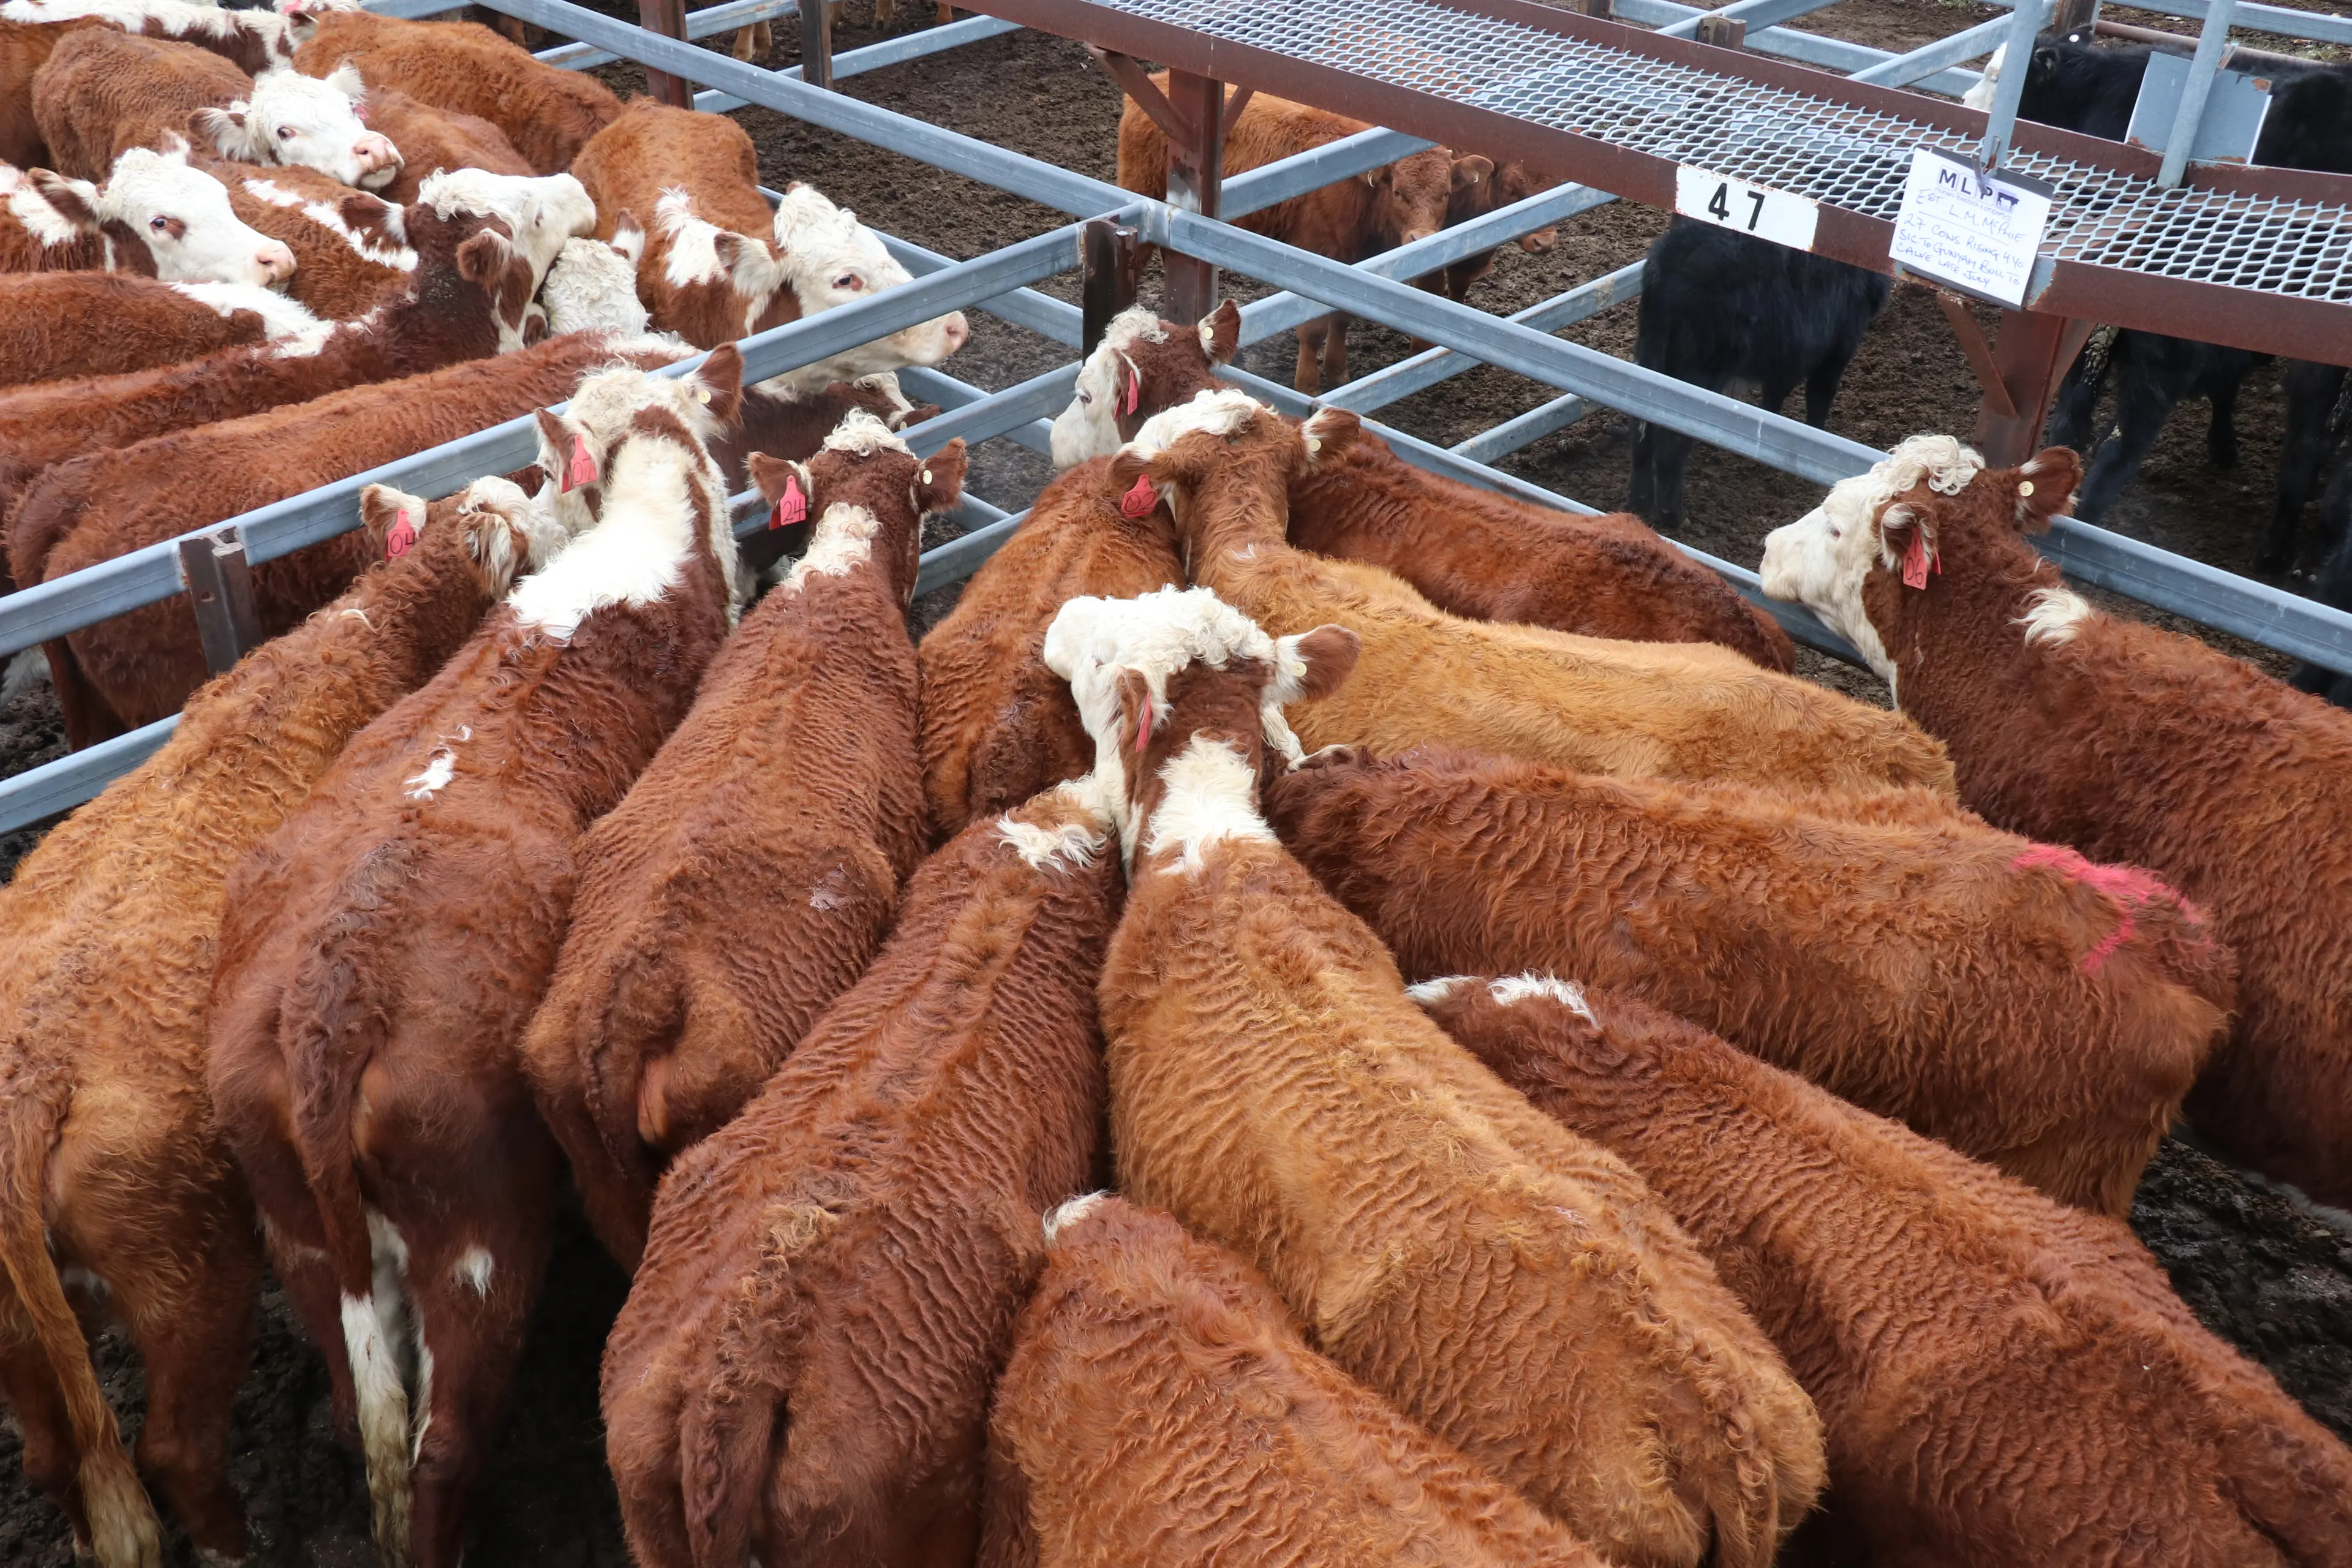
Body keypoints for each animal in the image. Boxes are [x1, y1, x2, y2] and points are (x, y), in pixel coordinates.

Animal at [0, 476, 565, 1568]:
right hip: (192, 1280)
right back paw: (240, 1546)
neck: (353, 647)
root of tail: (31, 1090)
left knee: (57, 1458)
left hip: (25, 1333)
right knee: (176, 1449)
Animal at [206, 350, 746, 1568]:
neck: (637, 552)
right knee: (444, 1442)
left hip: (303, 1240)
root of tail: (332, 1008)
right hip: (479, 1241)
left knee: (363, 1410)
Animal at [1117, 72, 1492, 389]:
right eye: (1398, 191)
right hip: (1140, 192)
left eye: (1446, 193)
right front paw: (1308, 384)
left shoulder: (1352, 266)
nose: (1421, 239)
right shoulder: (1315, 258)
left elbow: (1341, 318)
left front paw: (1338, 372)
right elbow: (1311, 329)